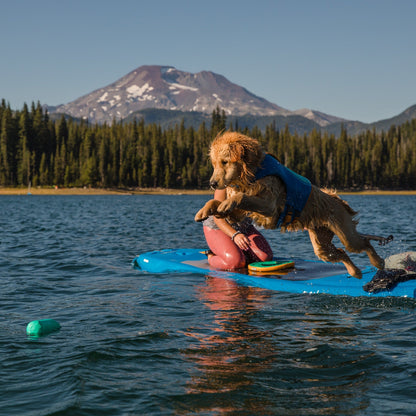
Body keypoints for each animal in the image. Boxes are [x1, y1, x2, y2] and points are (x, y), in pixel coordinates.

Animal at [194, 132, 390, 278]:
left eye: (225, 162)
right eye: (214, 164)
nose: (212, 183)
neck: (252, 173)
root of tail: (337, 199)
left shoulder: (269, 206)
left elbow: (242, 197)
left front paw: (224, 205)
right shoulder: (243, 212)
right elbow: (217, 202)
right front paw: (204, 210)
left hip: (346, 234)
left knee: (363, 242)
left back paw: (378, 262)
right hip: (321, 245)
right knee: (340, 252)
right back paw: (355, 271)